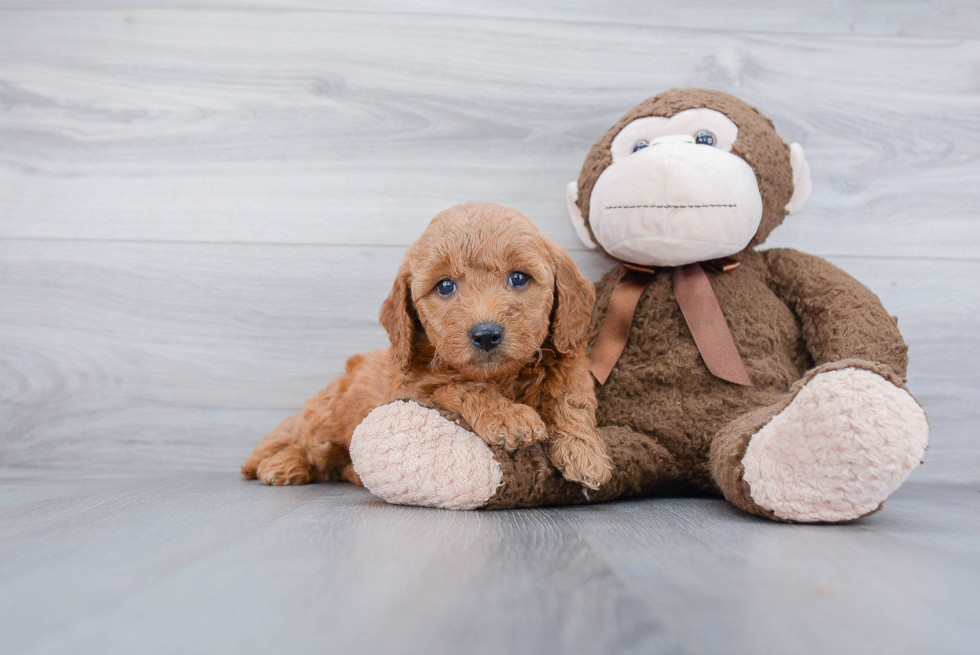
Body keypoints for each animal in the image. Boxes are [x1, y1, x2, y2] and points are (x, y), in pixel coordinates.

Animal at [243, 202, 612, 490]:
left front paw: (585, 453)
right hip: (324, 422)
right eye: (445, 286)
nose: (486, 334)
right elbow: (462, 385)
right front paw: (508, 417)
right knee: (306, 446)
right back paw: (281, 465)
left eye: (519, 278)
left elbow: (569, 401)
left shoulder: (569, 361)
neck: (502, 378)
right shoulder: (414, 387)